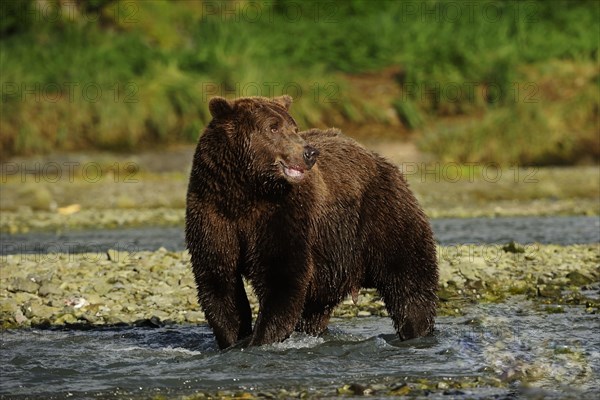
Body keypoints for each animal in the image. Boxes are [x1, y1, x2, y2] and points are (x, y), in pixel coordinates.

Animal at [185, 95, 438, 348]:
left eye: (294, 127)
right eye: (273, 127)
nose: (309, 152)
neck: (247, 193)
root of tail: (381, 160)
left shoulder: (283, 215)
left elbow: (281, 277)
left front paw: (259, 340)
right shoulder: (213, 213)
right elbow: (219, 280)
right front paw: (233, 340)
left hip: (381, 217)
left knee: (409, 282)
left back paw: (416, 329)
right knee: (314, 308)